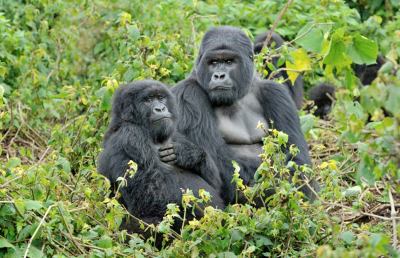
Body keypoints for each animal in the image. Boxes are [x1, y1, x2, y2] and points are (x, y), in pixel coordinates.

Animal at [98, 80, 225, 234]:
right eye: (148, 100)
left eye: (160, 98)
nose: (160, 108)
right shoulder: (130, 136)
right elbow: (151, 199)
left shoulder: (176, 135)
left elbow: (214, 184)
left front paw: (189, 154)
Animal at [172, 26, 318, 204]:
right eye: (213, 62)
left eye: (229, 62)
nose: (219, 75)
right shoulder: (188, 95)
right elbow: (223, 166)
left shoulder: (276, 93)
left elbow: (299, 163)